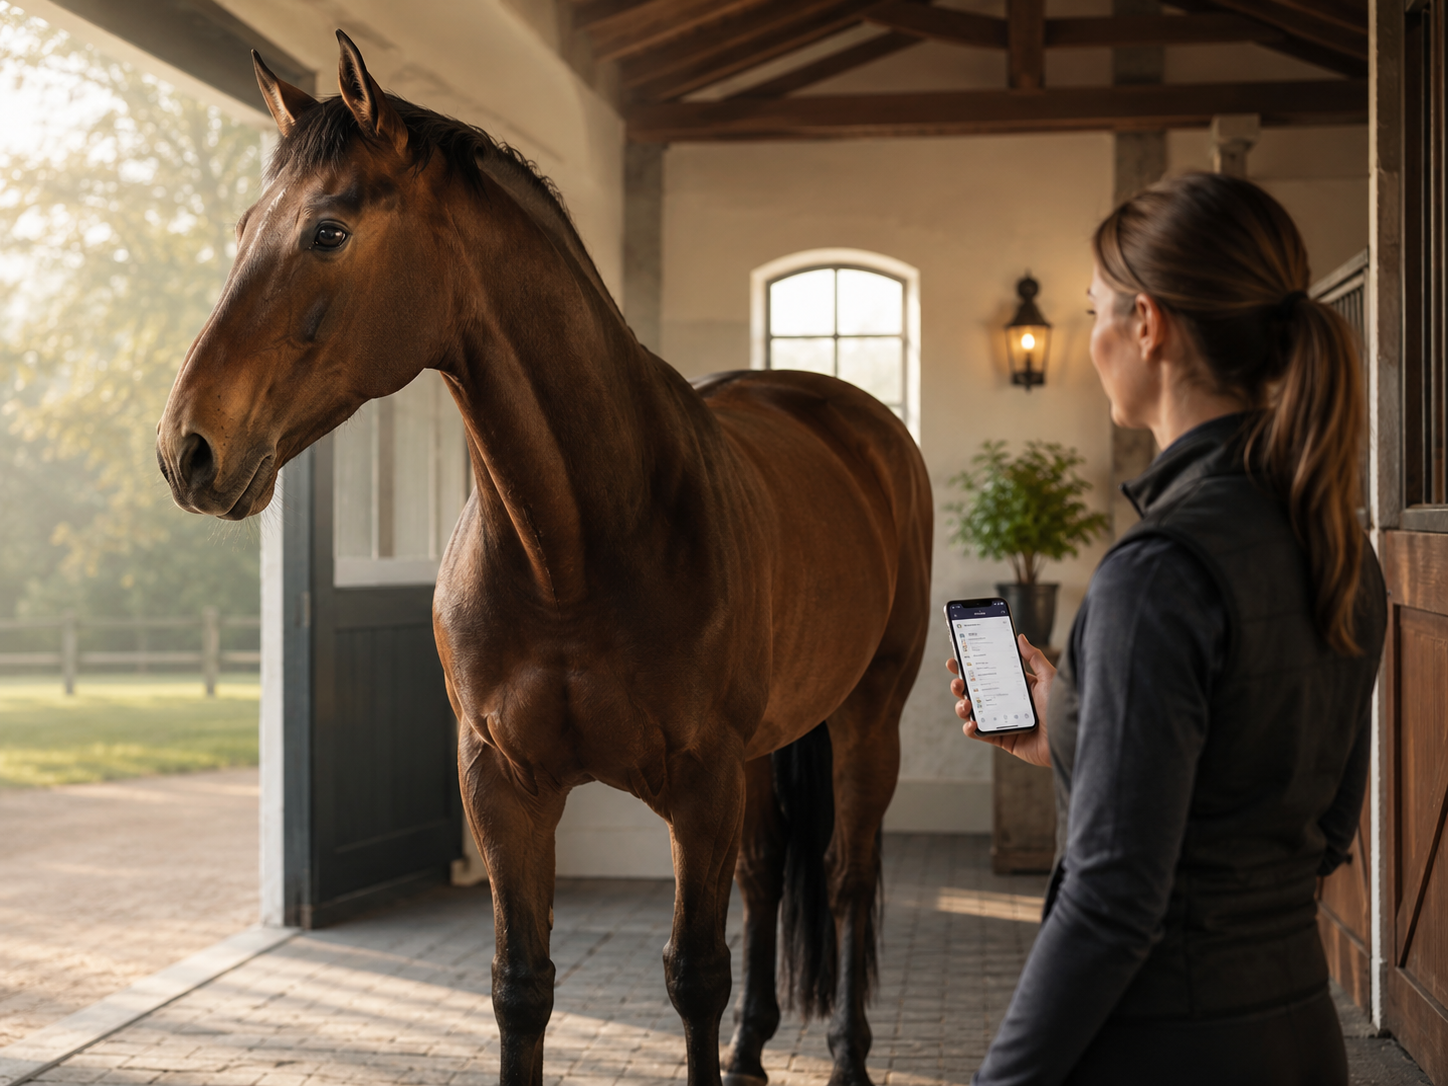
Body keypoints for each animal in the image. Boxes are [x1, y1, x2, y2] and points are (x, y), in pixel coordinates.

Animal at [156, 32, 932, 1086]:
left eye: (327, 231)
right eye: (244, 228)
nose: (186, 449)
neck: (573, 550)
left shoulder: (700, 787)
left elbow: (695, 975)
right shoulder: (503, 786)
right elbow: (521, 988)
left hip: (866, 716)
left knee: (849, 880)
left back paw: (846, 1055)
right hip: (768, 750)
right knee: (772, 876)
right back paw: (750, 1052)